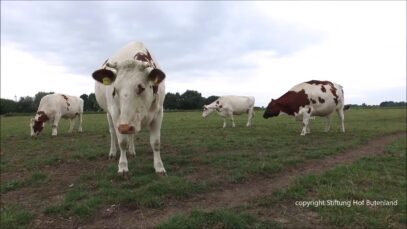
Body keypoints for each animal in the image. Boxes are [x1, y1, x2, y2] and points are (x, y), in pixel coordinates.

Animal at [92, 41, 167, 175]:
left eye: (141, 87)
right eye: (115, 89)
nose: (124, 127)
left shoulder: (159, 112)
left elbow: (156, 142)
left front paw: (159, 167)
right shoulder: (116, 113)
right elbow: (122, 141)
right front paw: (122, 166)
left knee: (131, 134)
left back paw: (132, 151)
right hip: (109, 113)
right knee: (112, 132)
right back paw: (112, 153)